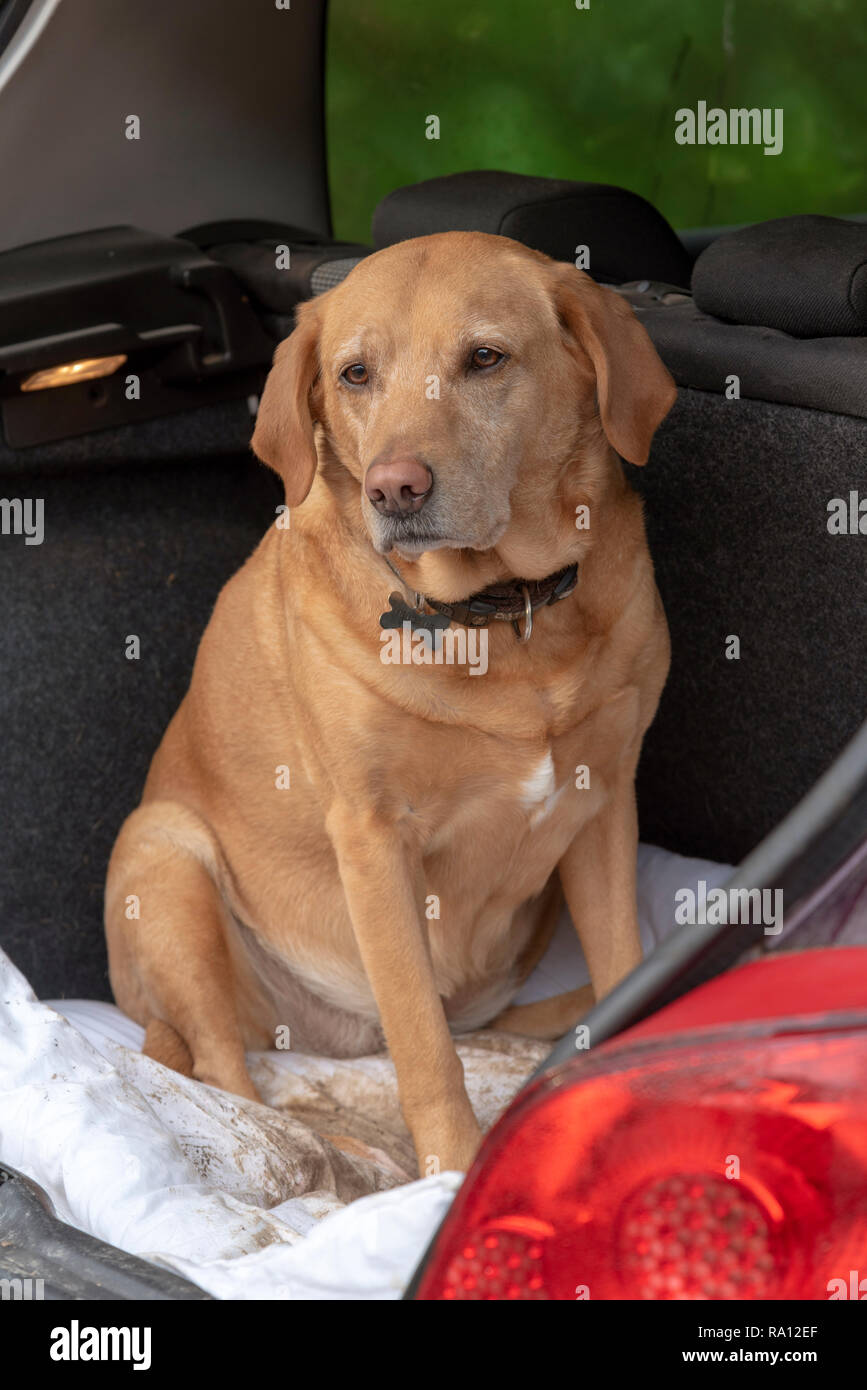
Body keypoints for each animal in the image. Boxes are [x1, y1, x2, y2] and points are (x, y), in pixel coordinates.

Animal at [106, 233, 678, 1167]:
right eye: (354, 374)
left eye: (484, 358)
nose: (394, 488)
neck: (504, 619)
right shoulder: (373, 839)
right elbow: (422, 1042)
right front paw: (451, 1167)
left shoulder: (602, 804)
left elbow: (625, 967)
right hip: (163, 856)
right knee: (228, 1071)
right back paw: (305, 1148)